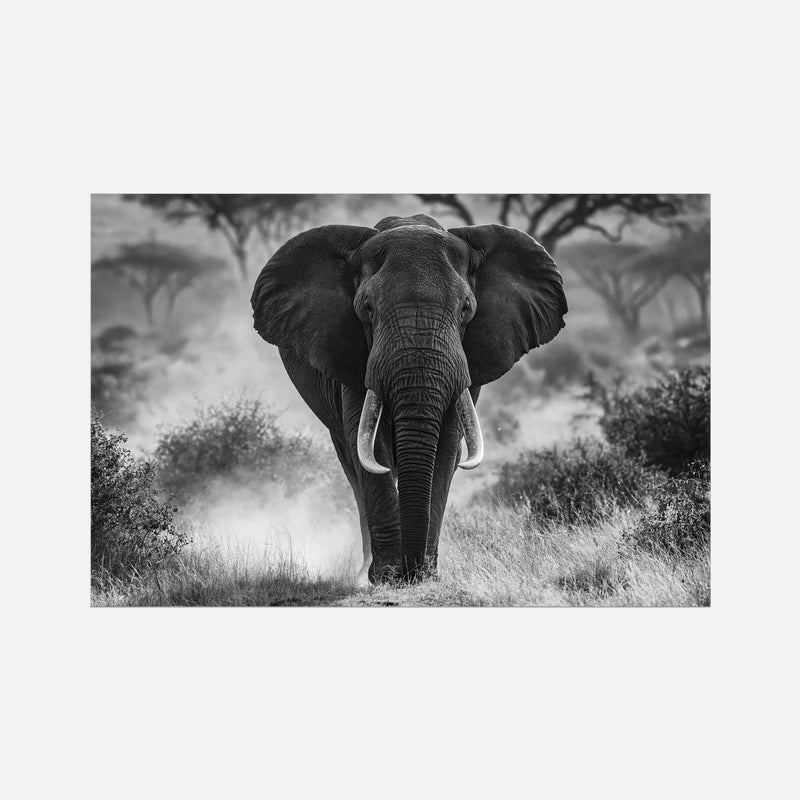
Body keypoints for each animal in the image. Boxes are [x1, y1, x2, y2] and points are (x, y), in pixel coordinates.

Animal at [251, 213, 567, 584]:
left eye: (466, 309)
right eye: (367, 308)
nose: (410, 571)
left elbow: (446, 448)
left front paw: (424, 574)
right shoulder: (354, 356)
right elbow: (369, 448)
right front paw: (388, 575)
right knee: (352, 464)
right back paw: (364, 570)